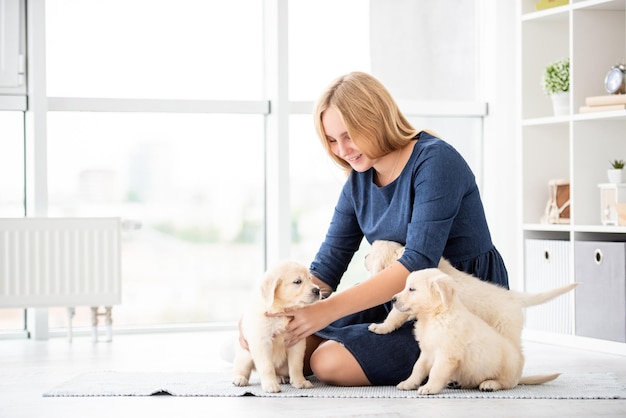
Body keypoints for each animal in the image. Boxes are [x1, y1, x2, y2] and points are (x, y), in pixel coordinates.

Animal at [233, 260, 322, 394]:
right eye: (298, 281)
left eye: (310, 278)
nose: (317, 290)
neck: (282, 310)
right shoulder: (262, 342)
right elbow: (267, 367)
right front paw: (270, 385)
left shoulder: (297, 342)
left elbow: (296, 365)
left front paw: (300, 382)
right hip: (246, 353)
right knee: (241, 367)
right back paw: (239, 378)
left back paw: (280, 378)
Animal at [366, 240, 576, 344]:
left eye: (371, 253)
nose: (365, 256)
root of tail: (512, 296)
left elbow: (395, 315)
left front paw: (380, 327)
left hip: (505, 328)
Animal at [370, 270, 556, 394]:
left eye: (412, 289)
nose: (393, 299)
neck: (434, 317)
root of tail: (519, 376)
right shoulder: (427, 352)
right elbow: (417, 368)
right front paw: (409, 383)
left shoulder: (446, 355)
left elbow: (435, 372)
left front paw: (429, 388)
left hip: (508, 367)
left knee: (507, 383)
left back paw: (489, 384)